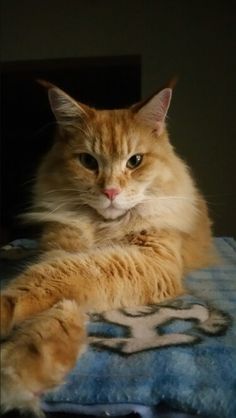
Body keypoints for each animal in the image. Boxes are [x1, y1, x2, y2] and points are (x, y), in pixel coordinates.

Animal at [0, 81, 214, 414]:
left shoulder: (150, 260)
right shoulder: (61, 249)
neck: (105, 227)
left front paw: (22, 367)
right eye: (88, 161)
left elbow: (57, 281)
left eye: (135, 161)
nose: (110, 191)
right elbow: (52, 288)